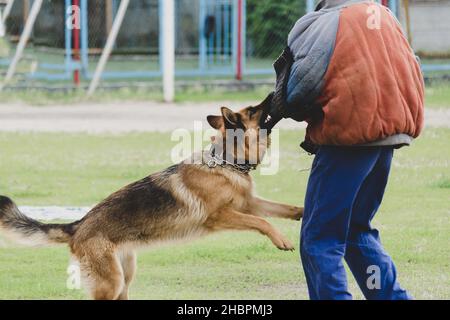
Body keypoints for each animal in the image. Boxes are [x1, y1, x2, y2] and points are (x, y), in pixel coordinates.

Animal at [0, 94, 304, 298]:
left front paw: (302, 213)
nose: (273, 94)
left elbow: (282, 208)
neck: (226, 162)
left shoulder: (249, 204)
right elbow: (262, 222)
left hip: (124, 278)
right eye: (254, 109)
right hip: (111, 283)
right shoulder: (221, 216)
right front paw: (283, 239)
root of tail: (78, 225)